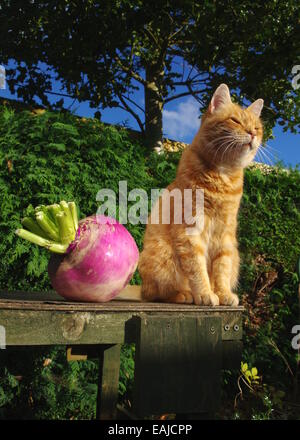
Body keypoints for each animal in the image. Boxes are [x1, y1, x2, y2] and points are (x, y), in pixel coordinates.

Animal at [137, 83, 264, 306]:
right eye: (235, 120)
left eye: (257, 127)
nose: (252, 134)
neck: (222, 176)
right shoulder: (190, 231)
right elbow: (197, 268)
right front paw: (205, 293)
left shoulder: (225, 235)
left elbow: (221, 268)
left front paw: (222, 294)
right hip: (162, 256)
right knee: (154, 294)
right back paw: (184, 295)